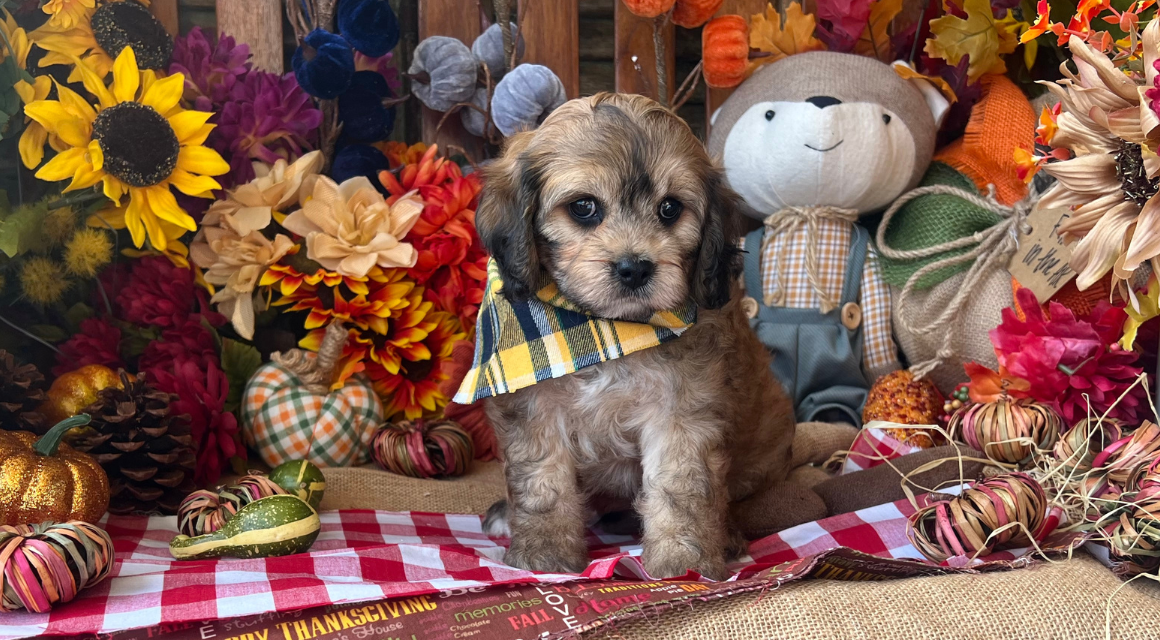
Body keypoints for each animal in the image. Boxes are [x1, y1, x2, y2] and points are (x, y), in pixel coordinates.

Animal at [473, 91, 798, 579]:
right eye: (584, 207)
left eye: (670, 208)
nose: (634, 268)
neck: (606, 330)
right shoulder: (534, 408)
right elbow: (542, 480)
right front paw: (545, 552)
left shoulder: (682, 410)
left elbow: (681, 485)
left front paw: (685, 558)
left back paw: (728, 536)